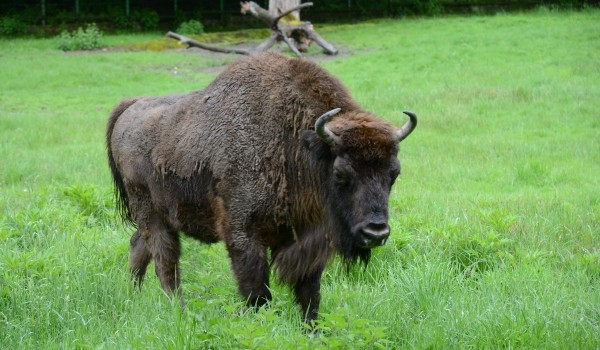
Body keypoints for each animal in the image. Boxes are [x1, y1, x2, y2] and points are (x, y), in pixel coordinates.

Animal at [106, 50, 418, 324]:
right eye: (341, 173)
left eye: (394, 173)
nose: (376, 232)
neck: (297, 145)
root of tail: (130, 107)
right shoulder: (244, 236)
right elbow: (258, 294)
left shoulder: (307, 240)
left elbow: (310, 295)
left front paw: (312, 330)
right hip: (151, 213)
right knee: (166, 262)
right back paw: (178, 310)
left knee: (139, 246)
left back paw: (134, 295)